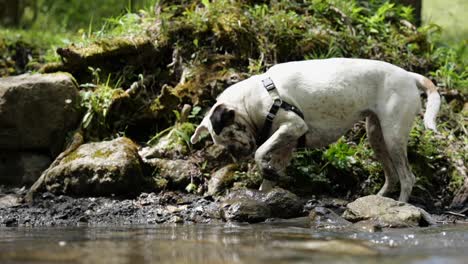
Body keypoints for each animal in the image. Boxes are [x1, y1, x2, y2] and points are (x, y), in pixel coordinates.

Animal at [190, 58, 438, 202]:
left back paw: (400, 206)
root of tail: (409, 76)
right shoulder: (285, 145)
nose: (238, 158)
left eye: (231, 133)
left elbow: (260, 152)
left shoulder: (294, 125)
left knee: (407, 178)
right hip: (376, 135)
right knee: (393, 176)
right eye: (222, 143)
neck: (253, 99)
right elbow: (267, 177)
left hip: (393, 137)